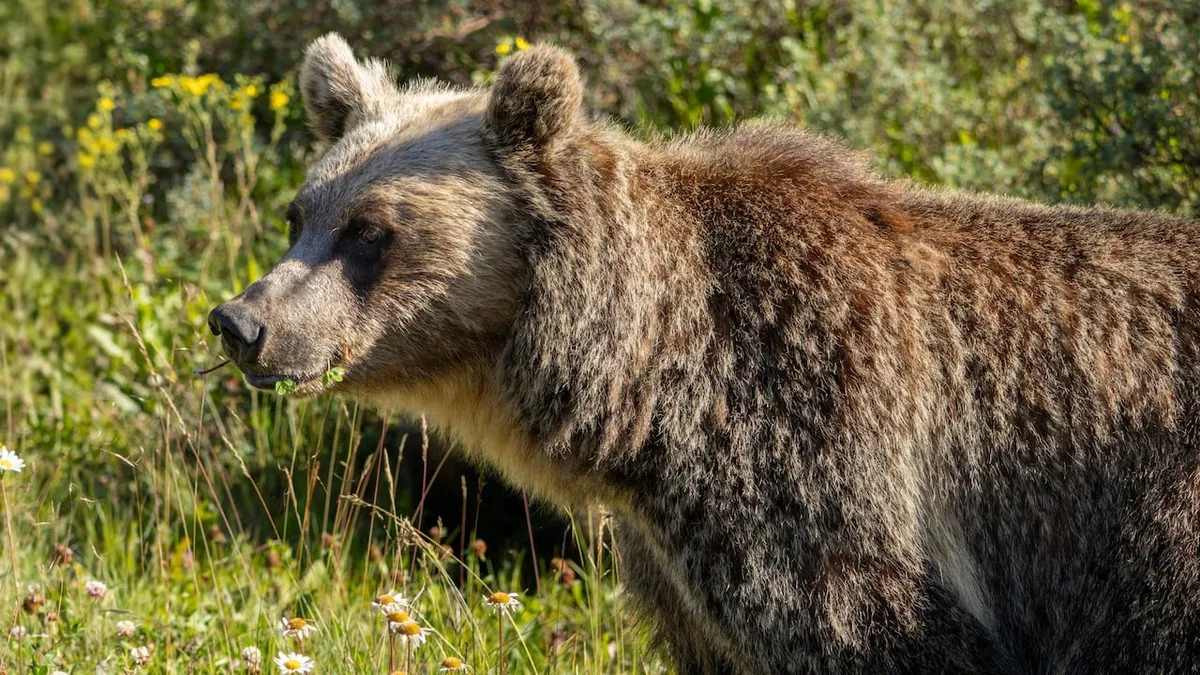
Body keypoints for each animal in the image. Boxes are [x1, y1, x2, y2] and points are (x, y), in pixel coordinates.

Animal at [208, 33, 1200, 674]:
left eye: (371, 231)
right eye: (301, 214)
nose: (242, 321)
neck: (651, 382)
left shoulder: (816, 462)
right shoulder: (676, 560)